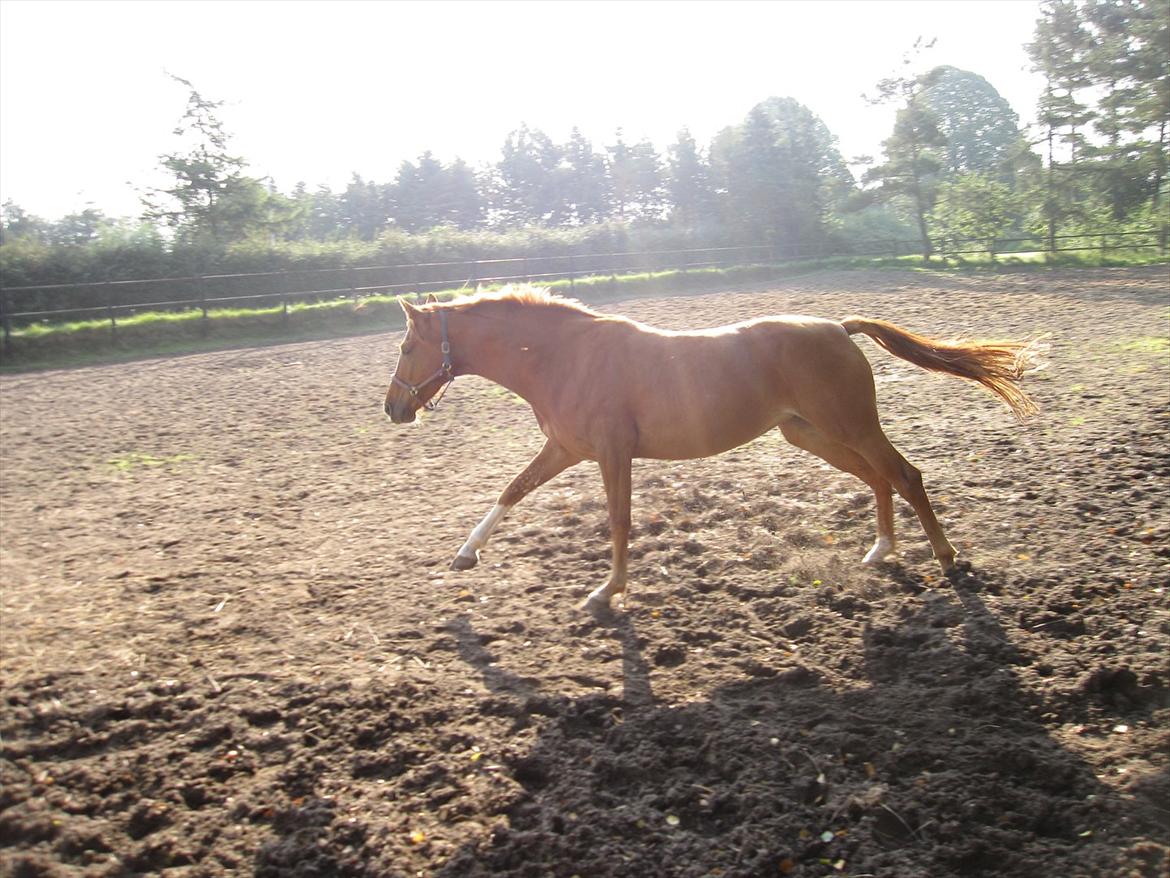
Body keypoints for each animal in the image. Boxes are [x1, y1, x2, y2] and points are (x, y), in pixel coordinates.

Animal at [383, 285, 1034, 613]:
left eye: (409, 347)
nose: (393, 408)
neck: (565, 357)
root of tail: (837, 327)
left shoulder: (611, 452)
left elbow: (618, 520)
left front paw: (606, 591)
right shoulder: (566, 448)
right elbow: (511, 490)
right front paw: (464, 555)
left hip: (849, 424)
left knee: (905, 473)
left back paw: (946, 557)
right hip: (810, 432)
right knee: (878, 478)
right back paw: (879, 552)